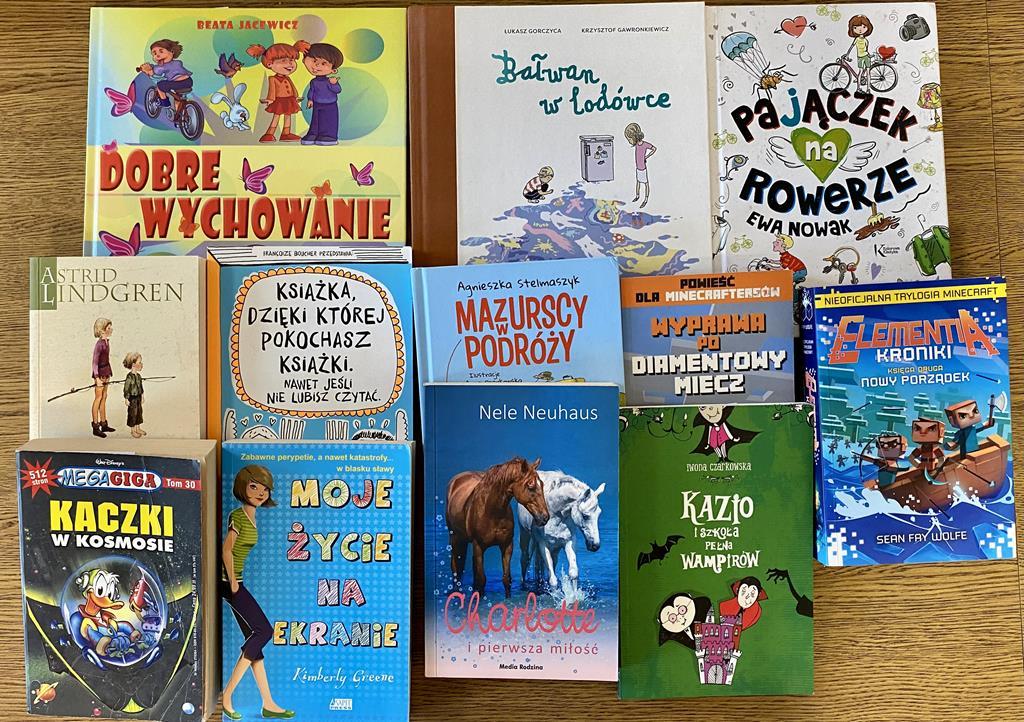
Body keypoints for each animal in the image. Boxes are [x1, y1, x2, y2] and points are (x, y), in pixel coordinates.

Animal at [446, 457, 550, 598]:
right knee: (456, 568)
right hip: (455, 539)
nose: (545, 517)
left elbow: (506, 579)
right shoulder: (478, 546)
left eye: (542, 484)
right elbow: (482, 579)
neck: (493, 512)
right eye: (530, 486)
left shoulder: (507, 546)